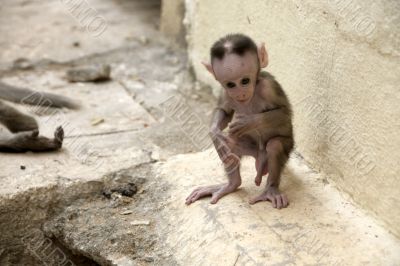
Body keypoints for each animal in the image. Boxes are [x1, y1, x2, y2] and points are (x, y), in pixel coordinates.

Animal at [185, 33, 294, 209]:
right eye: (231, 84)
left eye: (245, 81)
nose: (240, 93)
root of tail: (259, 156)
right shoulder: (225, 92)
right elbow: (223, 112)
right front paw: (214, 132)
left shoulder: (269, 87)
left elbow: (284, 113)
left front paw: (248, 122)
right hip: (248, 148)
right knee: (227, 145)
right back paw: (231, 184)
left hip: (286, 146)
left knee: (275, 145)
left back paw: (271, 190)